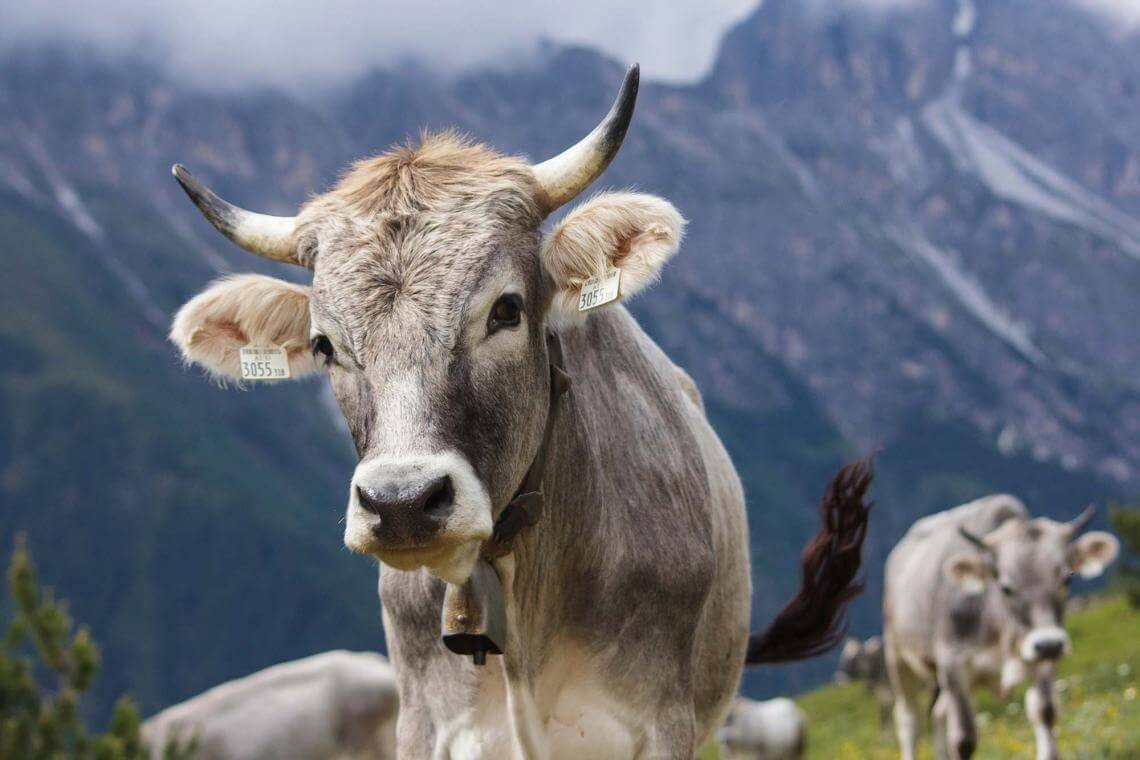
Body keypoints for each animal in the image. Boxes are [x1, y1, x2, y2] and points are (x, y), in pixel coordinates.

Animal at [880, 494, 1121, 760]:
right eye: (1006, 587)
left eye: (1066, 579)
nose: (1048, 643)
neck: (1002, 635)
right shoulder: (952, 662)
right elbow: (964, 739)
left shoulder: (1041, 657)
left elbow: (1045, 712)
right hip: (897, 657)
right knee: (908, 720)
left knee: (938, 714)